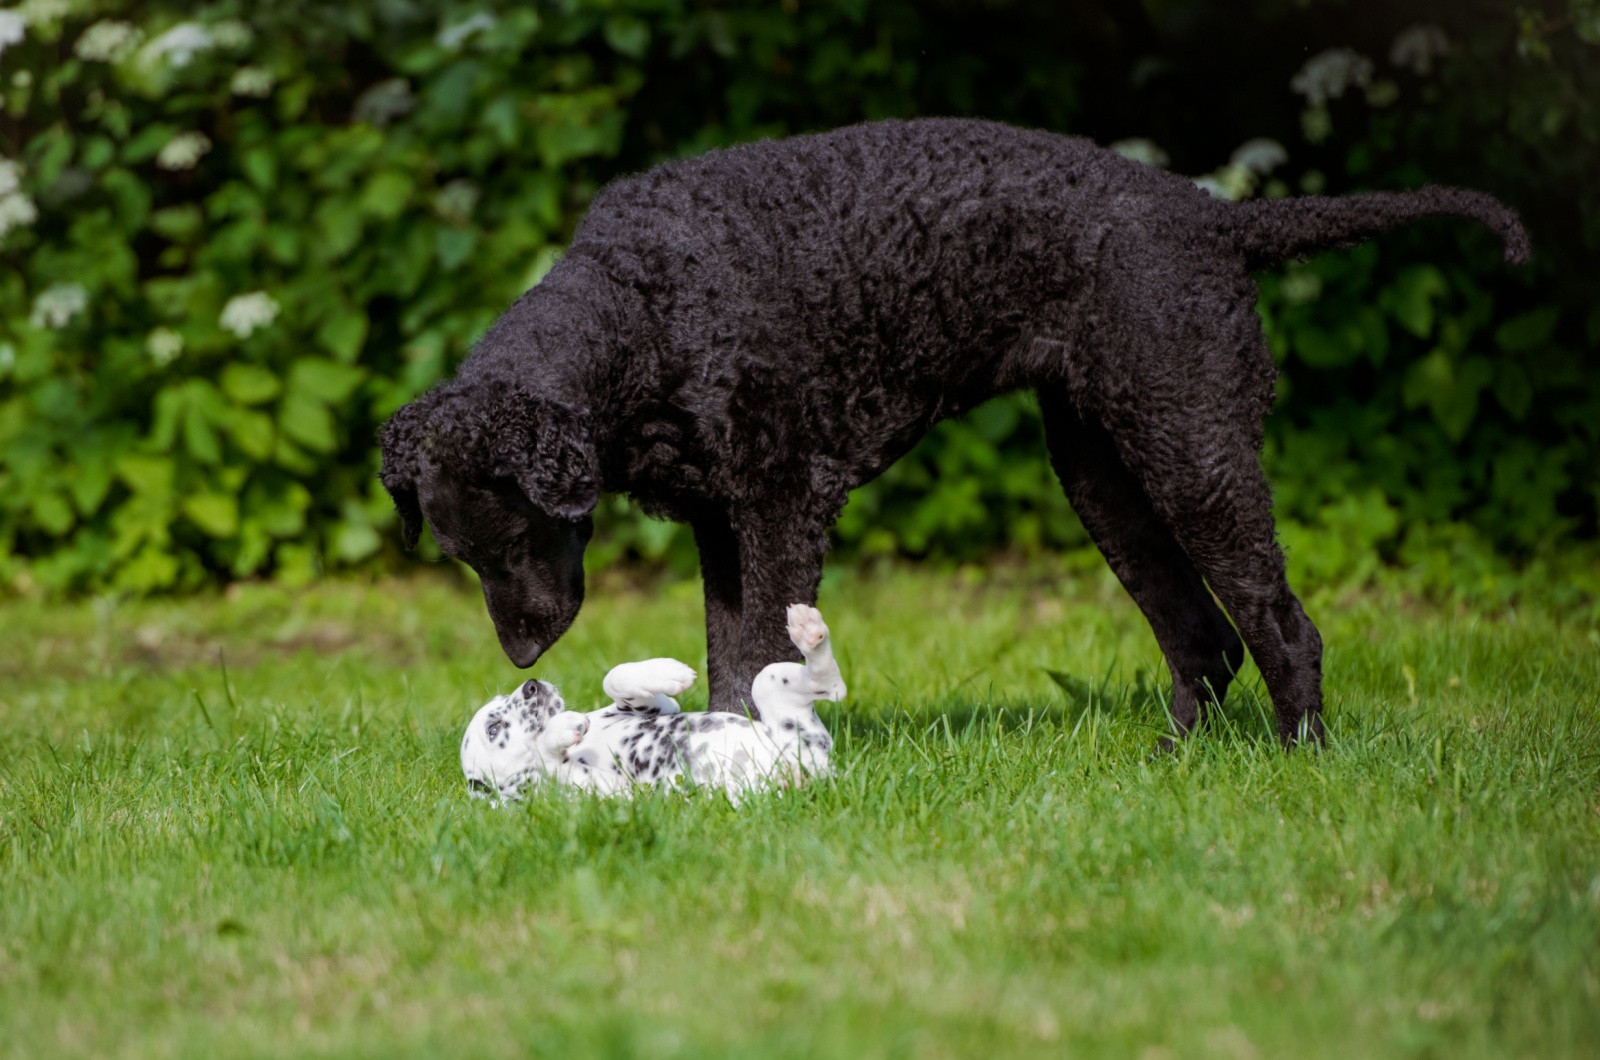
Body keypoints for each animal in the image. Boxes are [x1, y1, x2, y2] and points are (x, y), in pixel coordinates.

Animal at [460, 605, 844, 807]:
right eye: (493, 728)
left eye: (501, 701)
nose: (531, 686)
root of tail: (806, 777)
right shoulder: (603, 796)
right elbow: (545, 756)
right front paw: (559, 730)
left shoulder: (659, 707)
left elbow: (615, 677)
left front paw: (667, 672)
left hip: (774, 690)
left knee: (826, 685)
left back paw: (809, 631)